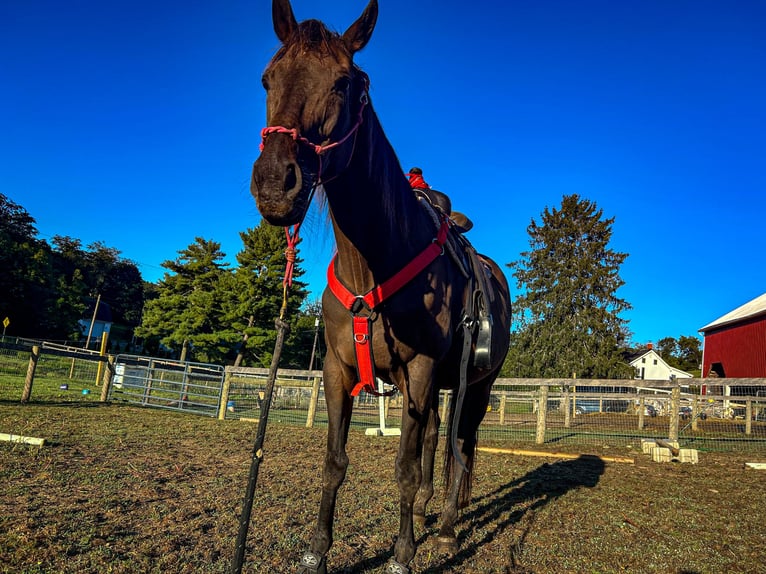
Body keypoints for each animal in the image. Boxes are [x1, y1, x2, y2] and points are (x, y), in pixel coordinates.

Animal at [252, 2, 512, 572]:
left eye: (343, 82)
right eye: (267, 78)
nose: (275, 182)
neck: (373, 266)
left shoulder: (418, 371)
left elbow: (405, 468)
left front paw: (402, 553)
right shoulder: (337, 369)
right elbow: (335, 461)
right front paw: (318, 549)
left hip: (475, 386)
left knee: (462, 445)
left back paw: (446, 529)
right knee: (438, 439)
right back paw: (430, 513)